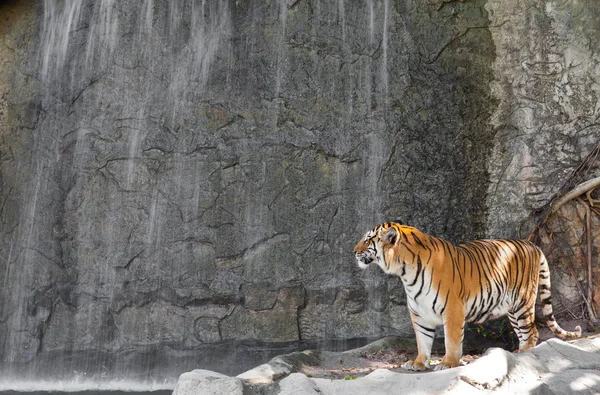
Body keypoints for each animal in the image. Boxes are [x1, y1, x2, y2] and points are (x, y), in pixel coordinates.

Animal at [356, 223, 580, 372]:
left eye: (367, 239)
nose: (354, 251)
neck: (405, 271)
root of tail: (532, 245)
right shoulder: (420, 313)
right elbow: (423, 340)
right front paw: (418, 363)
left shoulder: (453, 308)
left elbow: (452, 339)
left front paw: (448, 363)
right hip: (513, 310)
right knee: (528, 332)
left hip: (522, 304)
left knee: (532, 332)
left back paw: (524, 355)